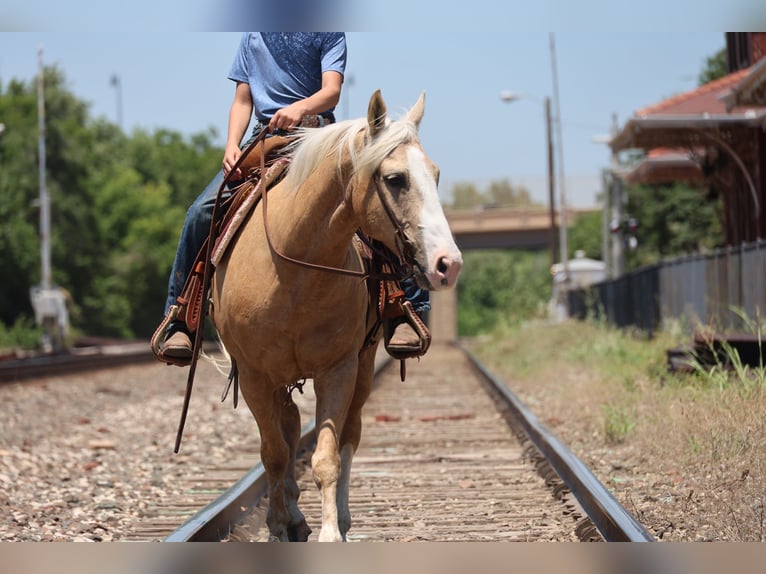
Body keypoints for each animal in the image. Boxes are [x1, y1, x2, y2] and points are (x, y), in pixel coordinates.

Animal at [209, 90, 463, 541]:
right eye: (395, 179)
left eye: (434, 175)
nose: (448, 264)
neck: (292, 267)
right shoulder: (255, 375)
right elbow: (275, 453)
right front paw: (276, 528)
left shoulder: (338, 368)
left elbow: (327, 455)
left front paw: (329, 533)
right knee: (290, 430)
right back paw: (292, 516)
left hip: (362, 366)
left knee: (348, 436)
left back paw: (339, 519)